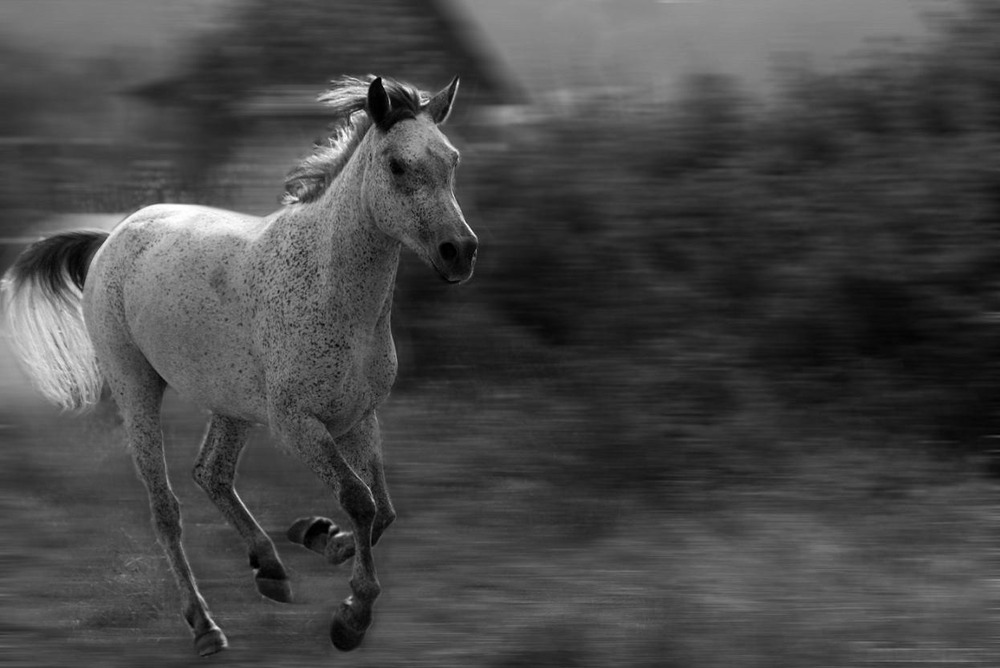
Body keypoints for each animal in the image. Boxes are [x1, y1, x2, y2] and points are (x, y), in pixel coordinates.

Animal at [0, 75, 476, 656]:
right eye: (397, 166)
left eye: (451, 159)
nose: (460, 251)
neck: (334, 292)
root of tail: (112, 237)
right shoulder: (298, 425)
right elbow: (359, 501)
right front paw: (352, 616)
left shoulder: (360, 418)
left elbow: (381, 508)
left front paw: (320, 537)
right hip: (137, 389)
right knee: (166, 508)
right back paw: (206, 627)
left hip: (231, 404)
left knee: (212, 473)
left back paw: (270, 567)